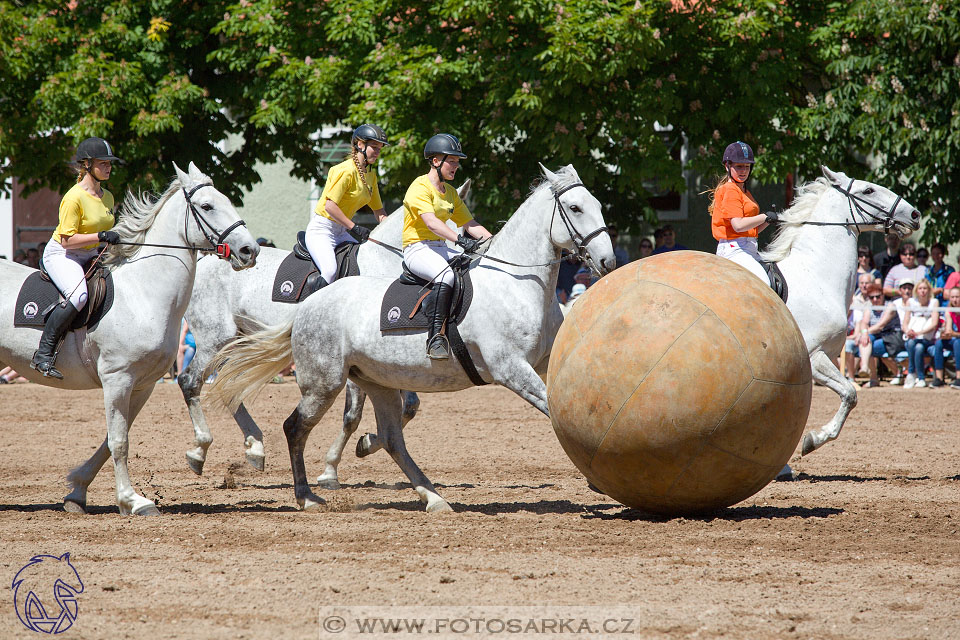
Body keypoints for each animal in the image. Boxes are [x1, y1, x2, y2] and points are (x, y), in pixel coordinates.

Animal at [0, 161, 258, 516]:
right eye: (207, 206)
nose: (250, 250)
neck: (143, 293)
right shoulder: (117, 378)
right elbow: (119, 442)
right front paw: (133, 501)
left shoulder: (142, 384)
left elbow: (112, 441)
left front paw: (77, 492)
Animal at [209, 164, 616, 510]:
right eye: (576, 208)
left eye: (597, 205)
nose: (608, 262)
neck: (518, 283)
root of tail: (310, 303)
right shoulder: (511, 369)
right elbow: (552, 410)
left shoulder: (546, 363)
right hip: (323, 382)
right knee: (292, 426)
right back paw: (304, 494)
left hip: (377, 381)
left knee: (391, 437)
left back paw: (432, 497)